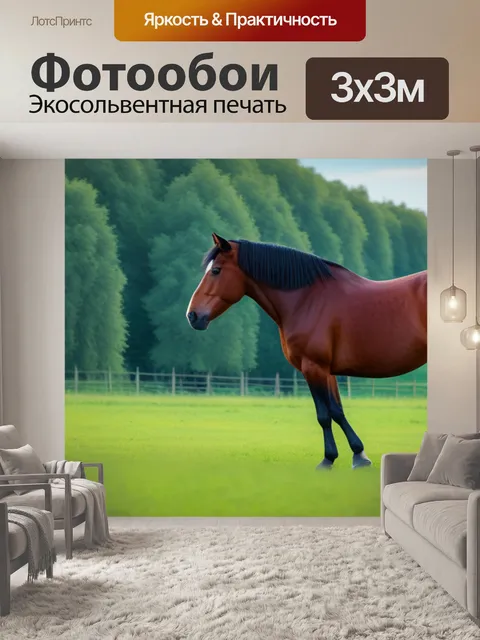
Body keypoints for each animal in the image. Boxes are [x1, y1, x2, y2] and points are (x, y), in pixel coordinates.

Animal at [186, 233, 427, 469]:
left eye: (216, 270)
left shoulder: (312, 367)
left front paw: (328, 458)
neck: (307, 300)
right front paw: (359, 455)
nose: (192, 315)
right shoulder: (327, 371)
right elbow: (337, 411)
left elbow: (324, 415)